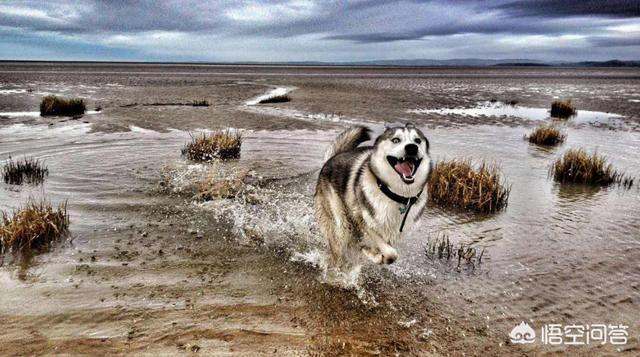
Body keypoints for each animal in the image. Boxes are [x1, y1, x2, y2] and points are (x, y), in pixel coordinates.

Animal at [314, 122, 432, 270]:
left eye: (417, 140)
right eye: (396, 140)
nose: (412, 148)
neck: (395, 193)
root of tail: (331, 158)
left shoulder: (392, 233)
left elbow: (387, 252)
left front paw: (373, 254)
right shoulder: (361, 220)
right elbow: (390, 253)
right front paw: (374, 255)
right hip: (340, 222)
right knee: (339, 244)